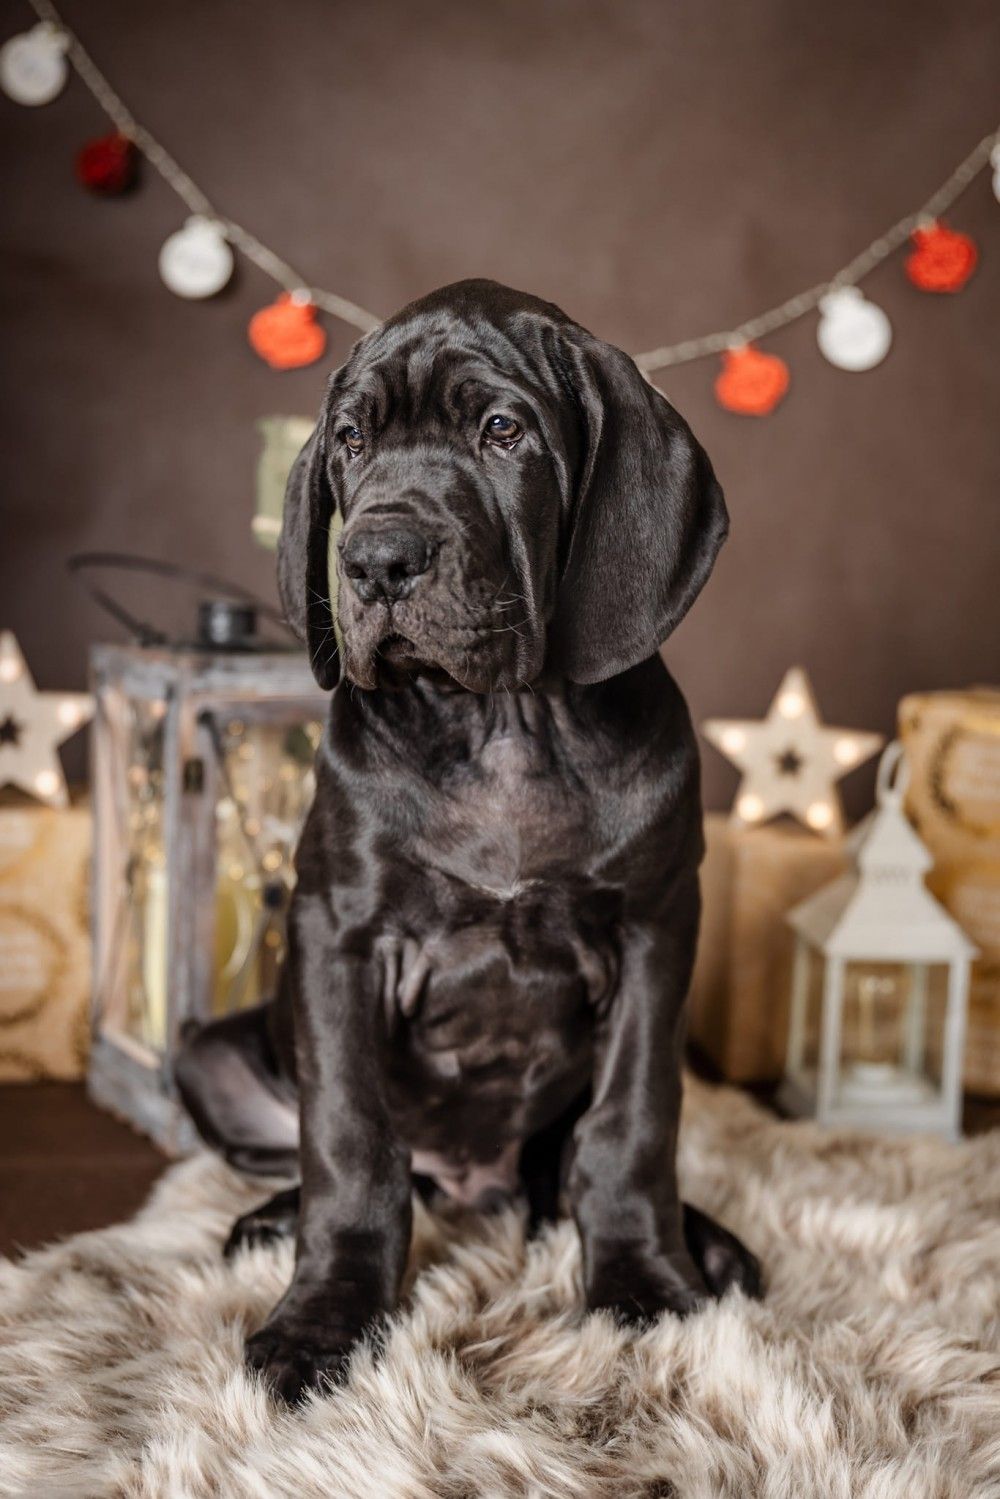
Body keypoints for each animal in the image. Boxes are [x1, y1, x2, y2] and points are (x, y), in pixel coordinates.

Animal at [177, 278, 762, 1404]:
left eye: (502, 430)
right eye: (352, 438)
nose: (374, 558)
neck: (502, 724)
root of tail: (471, 1188)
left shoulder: (657, 928)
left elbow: (632, 1126)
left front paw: (647, 1279)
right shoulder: (337, 931)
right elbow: (349, 1141)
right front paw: (322, 1319)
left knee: (561, 1162)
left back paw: (706, 1239)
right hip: (207, 1051)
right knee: (337, 1161)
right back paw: (270, 1224)